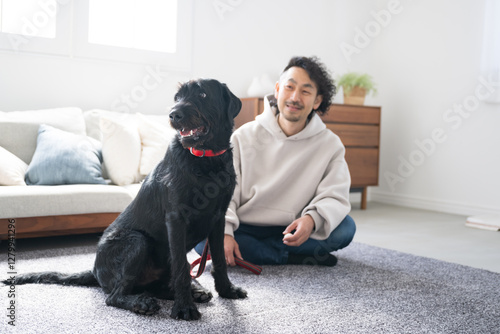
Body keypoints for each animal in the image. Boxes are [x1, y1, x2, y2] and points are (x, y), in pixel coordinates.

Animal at [3, 79, 246, 320]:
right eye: (177, 97)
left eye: (203, 95)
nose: (174, 115)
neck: (205, 161)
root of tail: (94, 271)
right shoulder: (176, 219)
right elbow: (180, 267)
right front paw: (184, 308)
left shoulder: (218, 218)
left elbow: (220, 259)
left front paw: (227, 290)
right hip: (136, 241)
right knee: (114, 296)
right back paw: (143, 303)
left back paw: (193, 291)